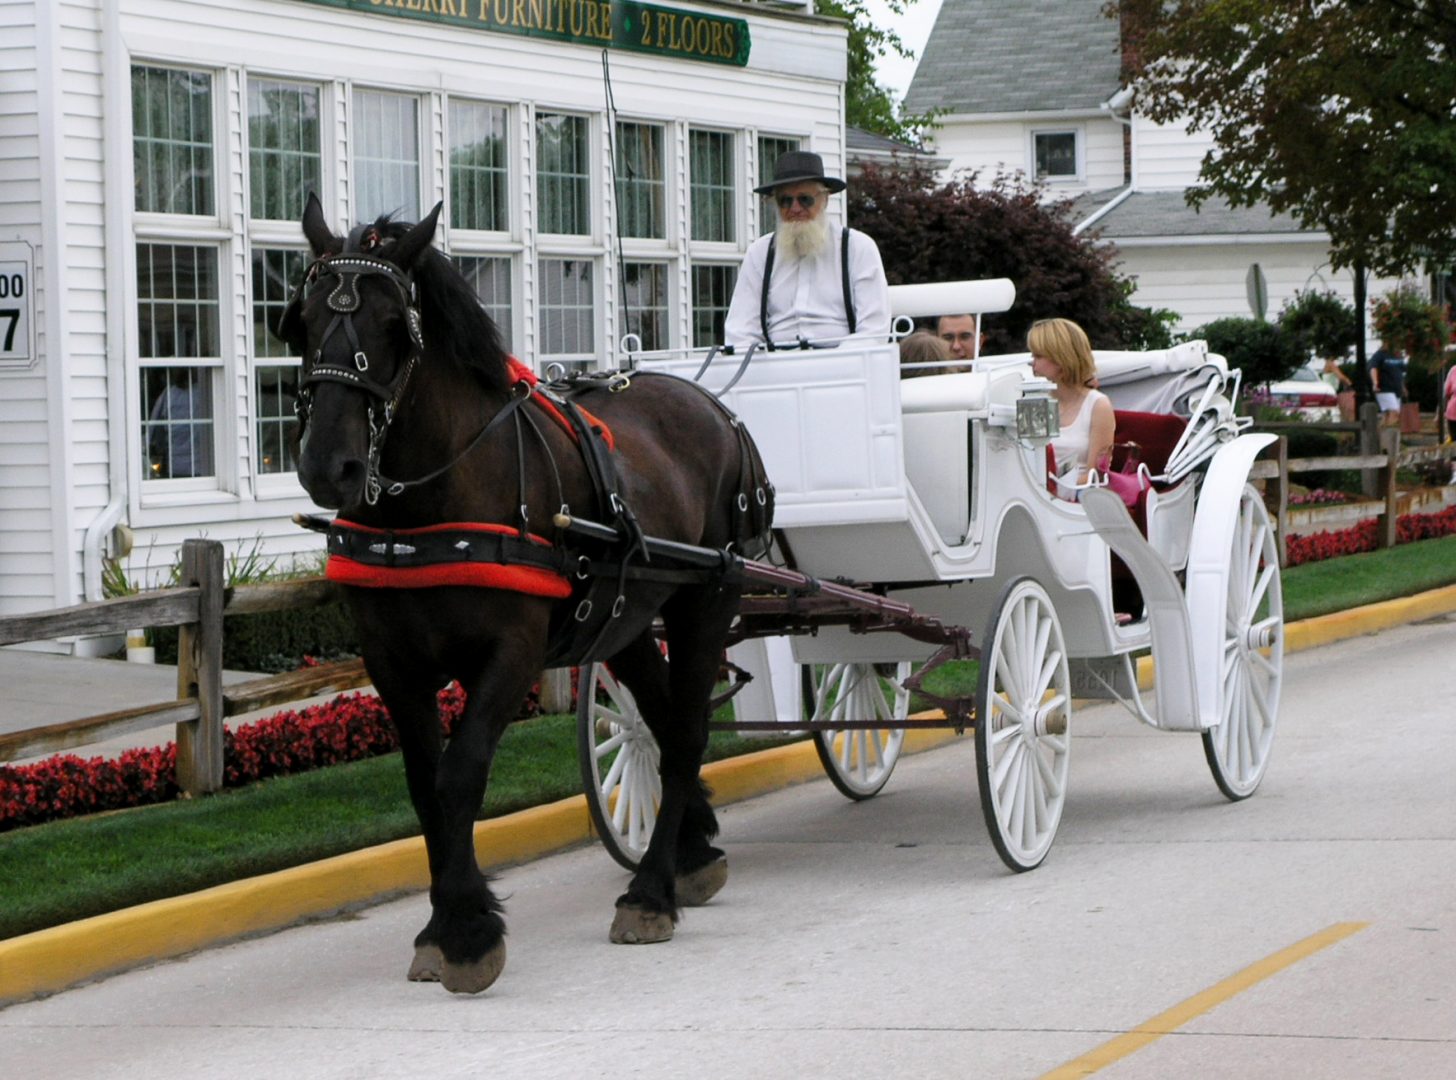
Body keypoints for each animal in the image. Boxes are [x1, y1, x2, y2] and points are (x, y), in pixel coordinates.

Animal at [275, 196, 774, 995]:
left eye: (395, 328)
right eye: (297, 322)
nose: (330, 466)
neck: (429, 506)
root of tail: (710, 404)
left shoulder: (511, 653)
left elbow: (460, 776)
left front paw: (467, 934)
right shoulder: (392, 662)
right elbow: (424, 787)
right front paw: (448, 921)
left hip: (706, 598)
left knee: (690, 731)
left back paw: (651, 891)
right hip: (626, 619)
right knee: (665, 724)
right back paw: (691, 851)